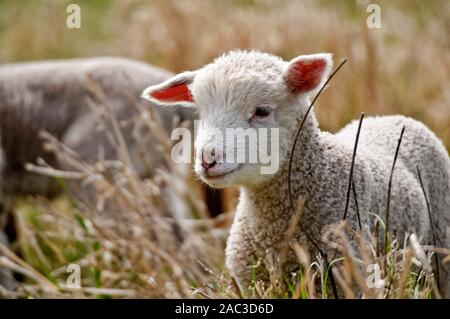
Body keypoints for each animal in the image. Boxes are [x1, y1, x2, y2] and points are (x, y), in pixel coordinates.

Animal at [143, 49, 450, 298]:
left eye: (262, 111)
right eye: (201, 112)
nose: (208, 159)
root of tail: (393, 118)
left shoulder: (346, 277)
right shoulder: (255, 281)